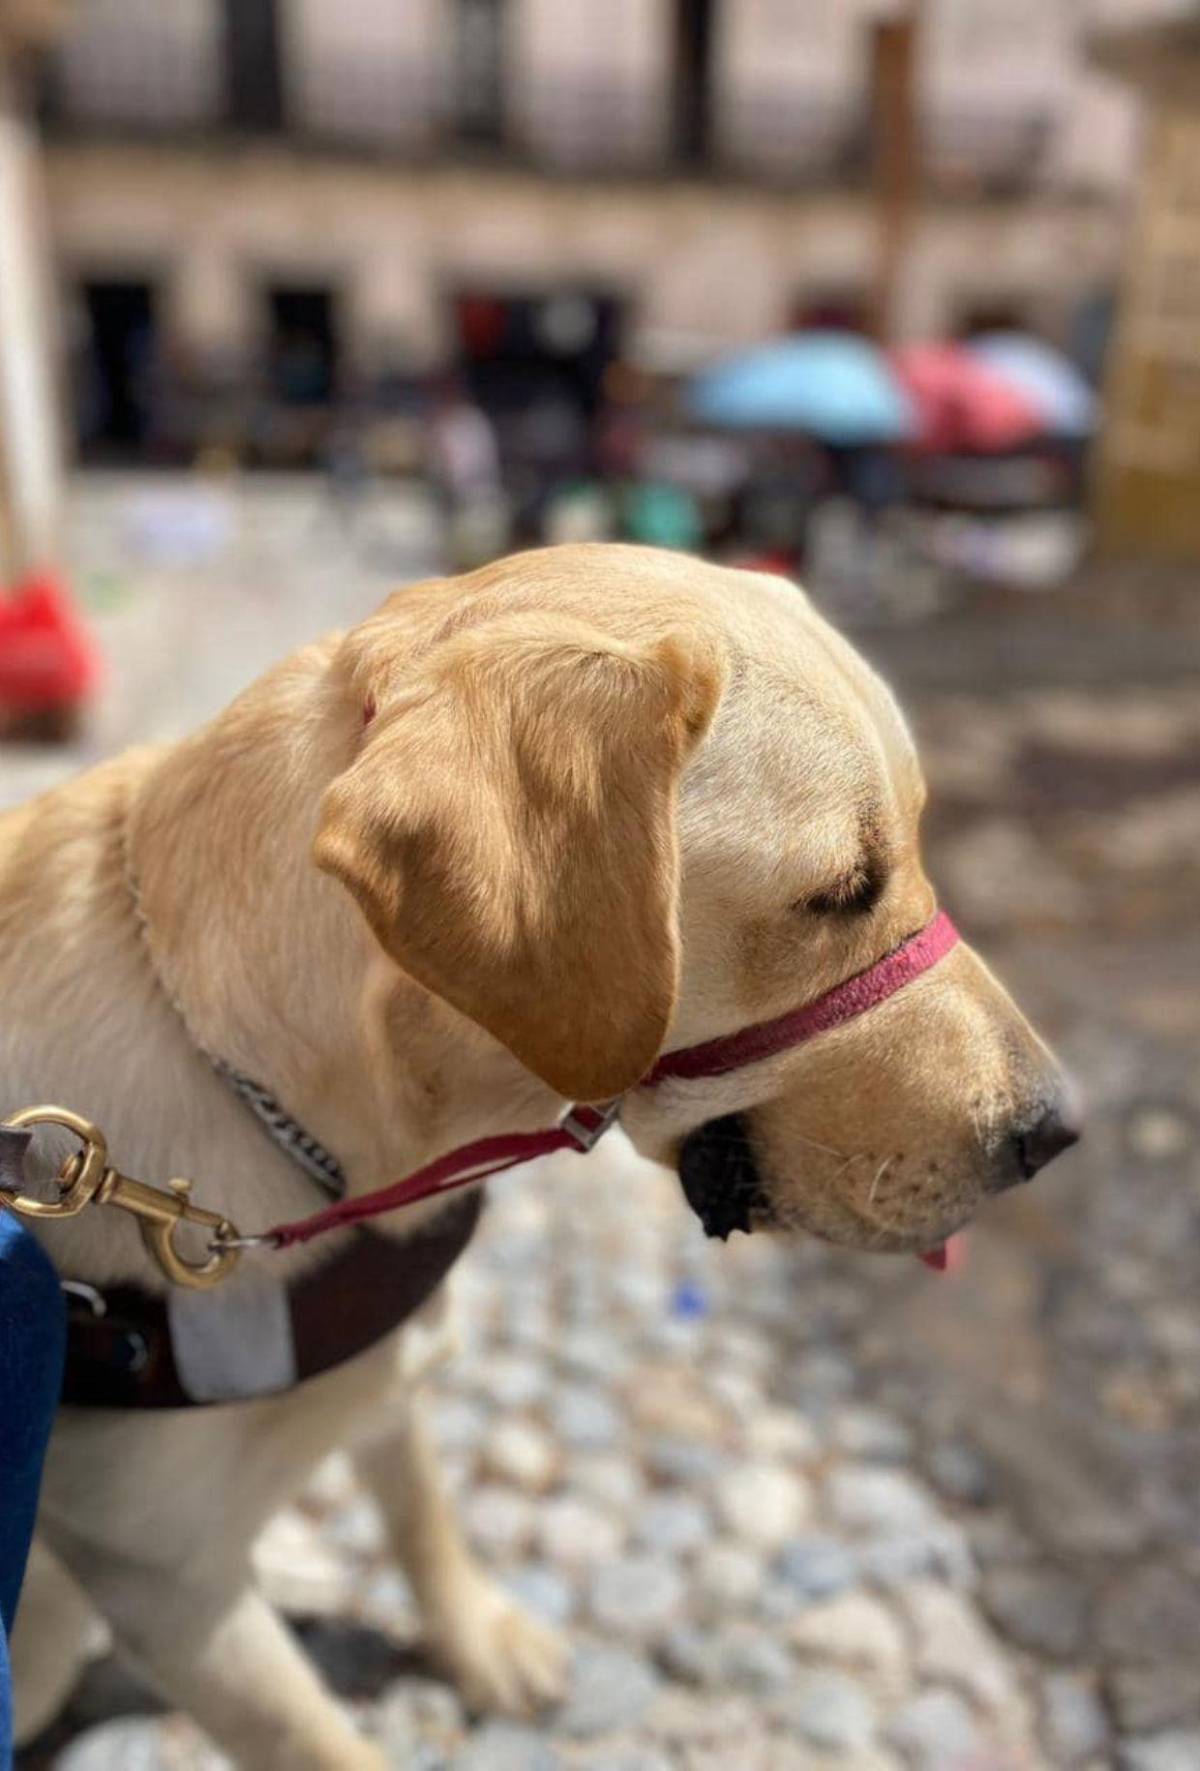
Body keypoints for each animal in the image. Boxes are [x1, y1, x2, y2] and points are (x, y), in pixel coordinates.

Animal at [4, 545, 1083, 1763]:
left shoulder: (389, 1382)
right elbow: (316, 1735)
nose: (1057, 1127)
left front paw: (479, 1639)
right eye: (839, 892)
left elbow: (423, 1515)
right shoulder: (173, 1589)